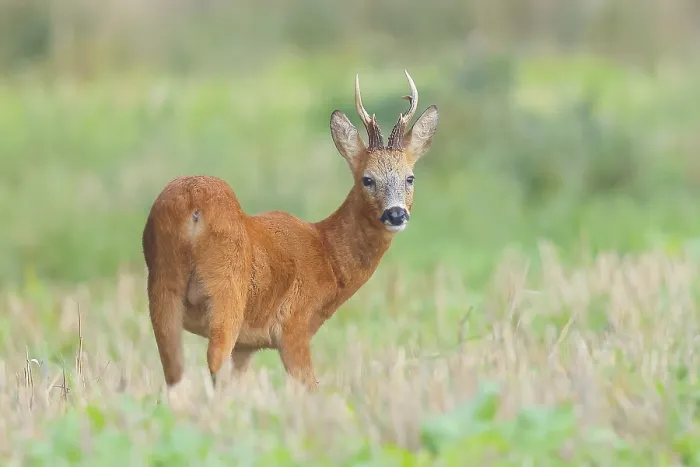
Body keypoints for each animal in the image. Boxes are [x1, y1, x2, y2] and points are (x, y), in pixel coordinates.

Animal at [141, 70, 439, 393]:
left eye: (410, 177)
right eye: (367, 179)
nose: (395, 213)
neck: (327, 255)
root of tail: (192, 203)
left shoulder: (247, 345)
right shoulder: (293, 325)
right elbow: (311, 387)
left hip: (162, 284)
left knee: (174, 372)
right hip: (226, 287)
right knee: (213, 360)